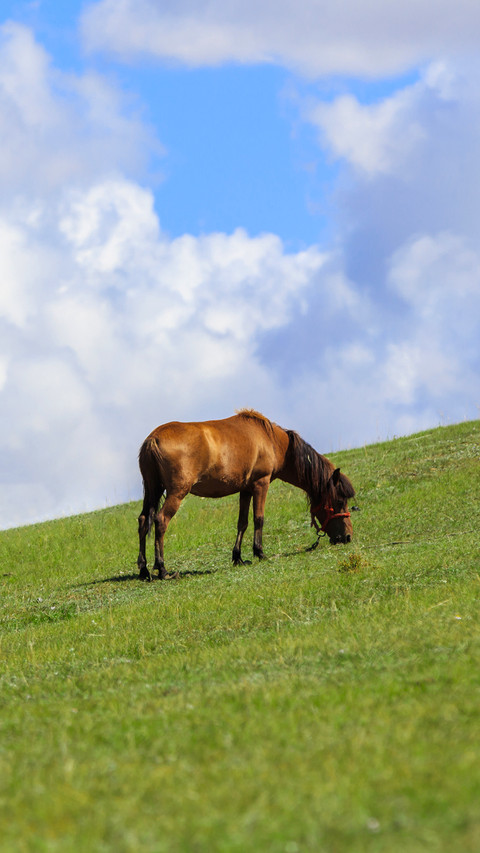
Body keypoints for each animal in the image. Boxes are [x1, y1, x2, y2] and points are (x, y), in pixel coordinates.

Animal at [137, 409, 355, 580]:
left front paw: (238, 557)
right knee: (161, 520)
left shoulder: (245, 489)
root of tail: (153, 439)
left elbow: (242, 522)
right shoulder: (261, 484)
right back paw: (162, 569)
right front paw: (260, 552)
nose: (347, 537)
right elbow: (259, 518)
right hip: (176, 492)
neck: (273, 441)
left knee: (143, 520)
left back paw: (144, 570)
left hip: (152, 490)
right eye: (339, 501)